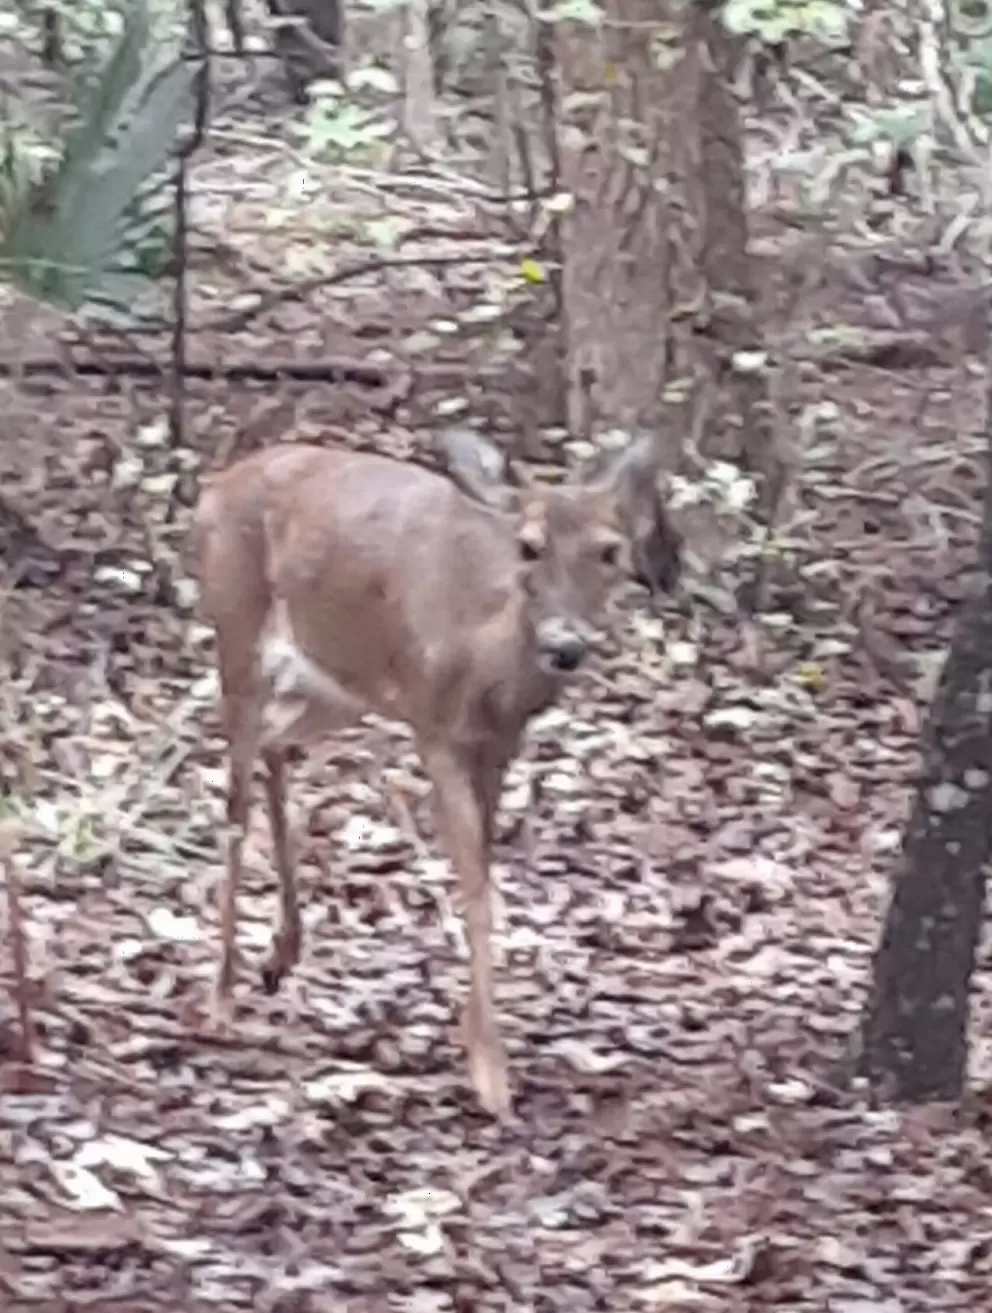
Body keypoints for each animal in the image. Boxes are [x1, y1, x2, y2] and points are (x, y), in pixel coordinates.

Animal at [192, 429, 682, 1120]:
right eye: (528, 546)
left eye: (610, 552)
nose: (564, 646)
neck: (487, 661)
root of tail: (217, 484)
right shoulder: (434, 729)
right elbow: (475, 887)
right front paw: (491, 1073)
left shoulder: (499, 745)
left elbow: (485, 871)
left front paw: (474, 1039)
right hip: (236, 629)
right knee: (234, 799)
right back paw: (222, 997)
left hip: (334, 683)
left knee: (276, 746)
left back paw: (282, 954)